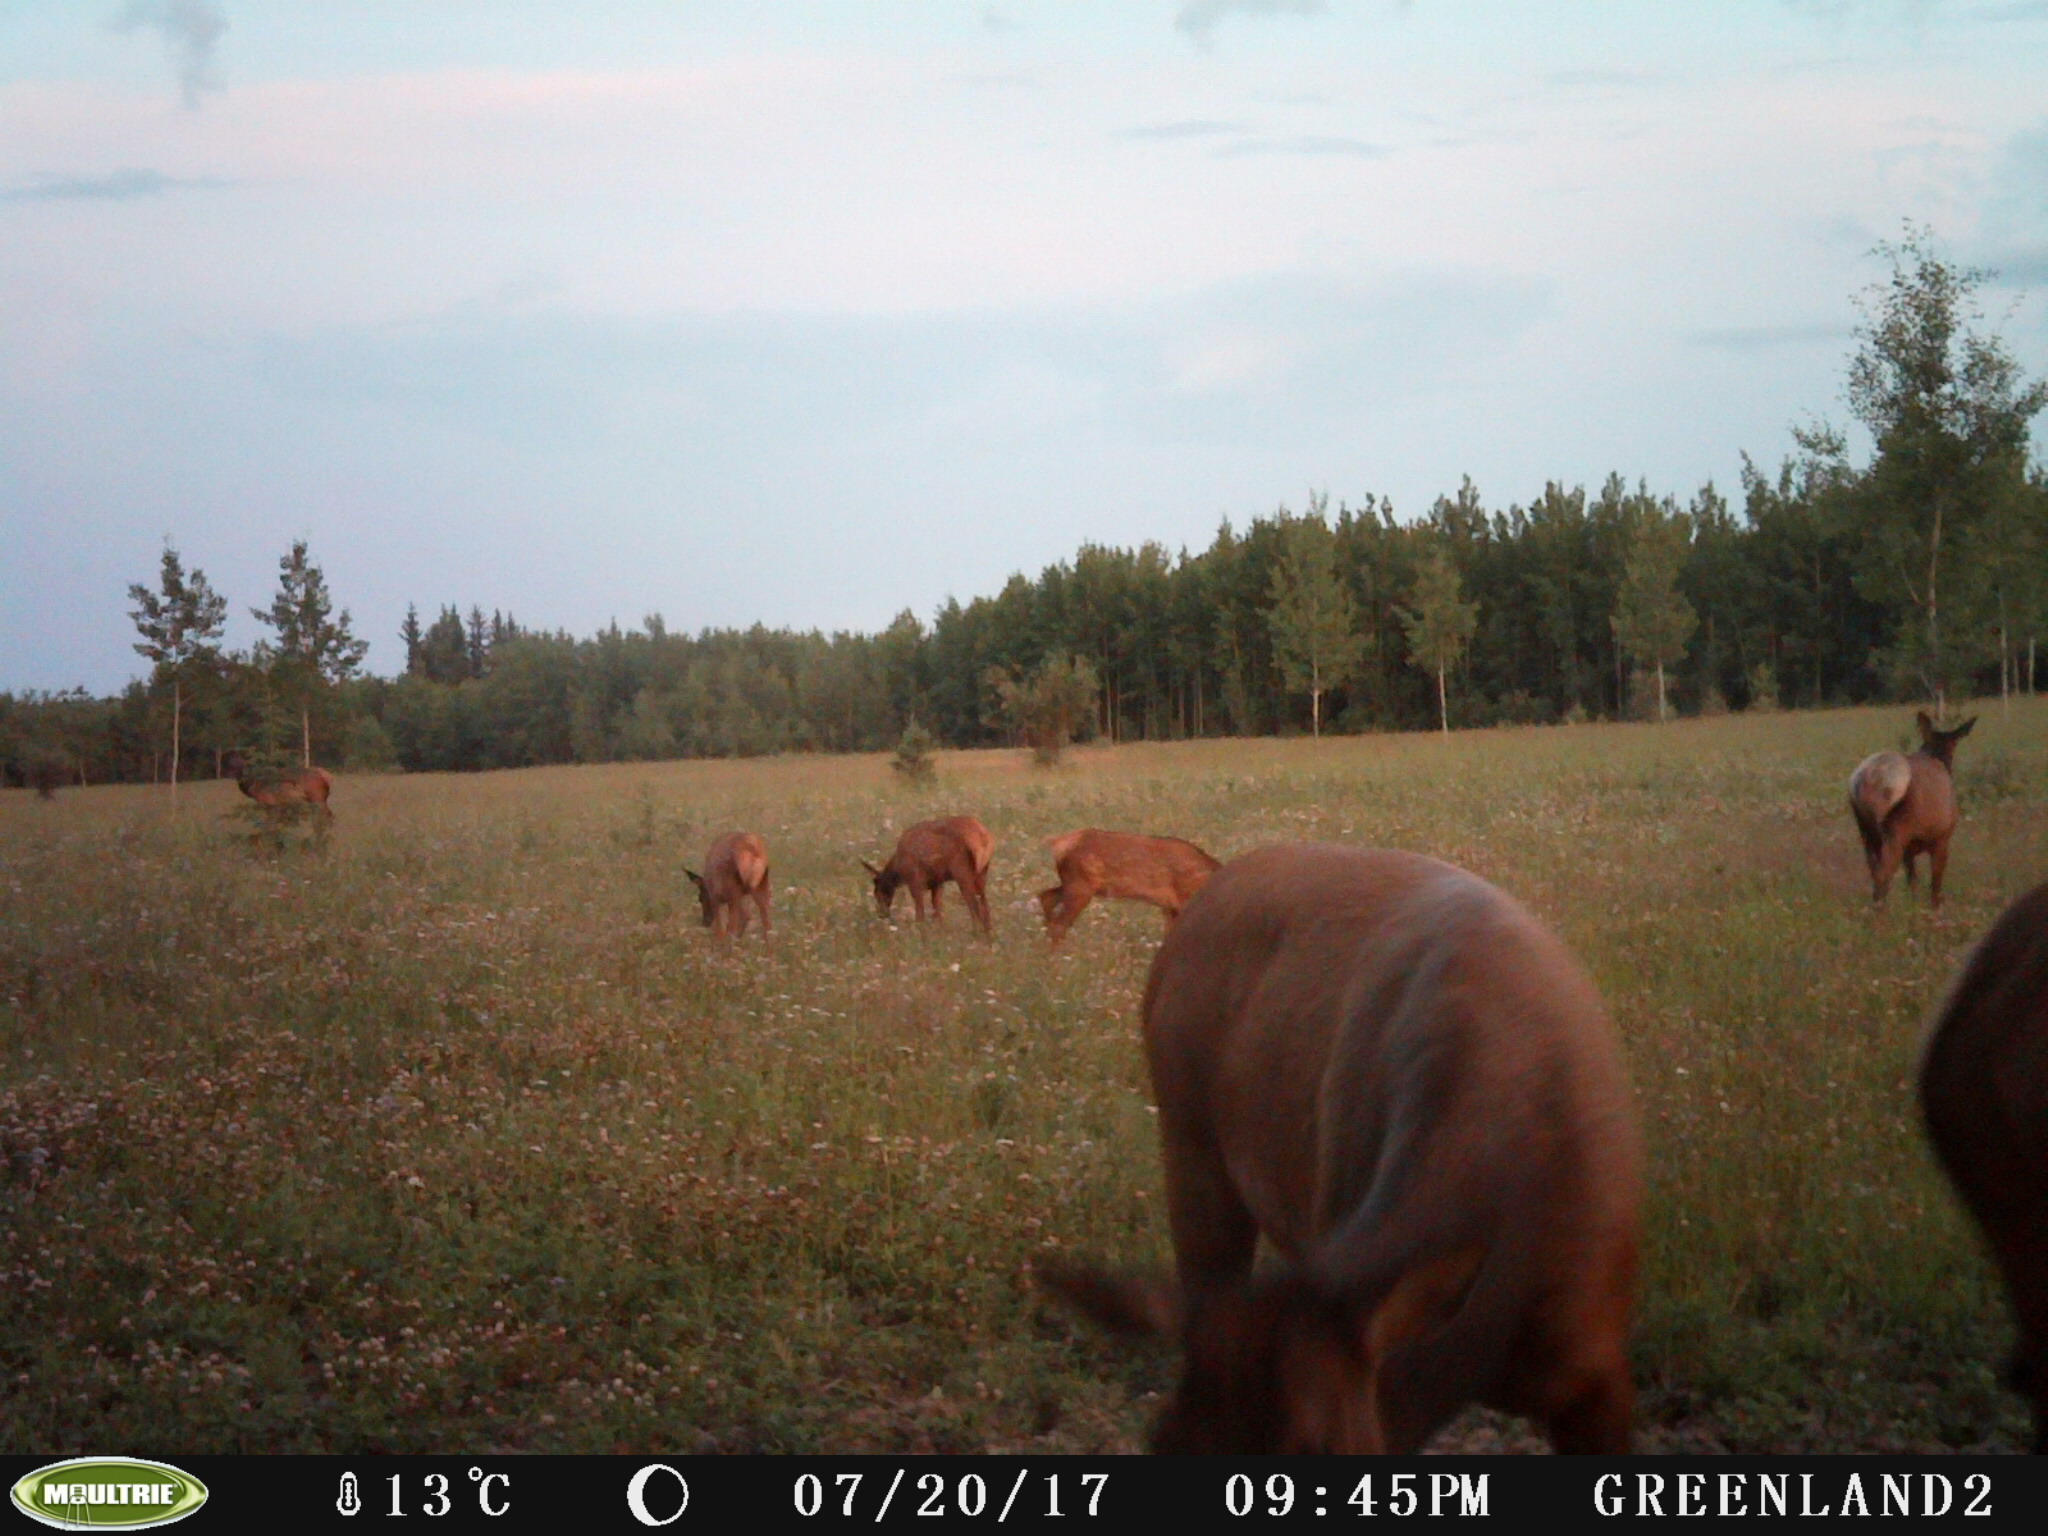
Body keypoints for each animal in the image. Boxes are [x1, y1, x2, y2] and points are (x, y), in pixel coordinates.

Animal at [862, 815, 995, 934]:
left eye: (879, 892)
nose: (882, 914)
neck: (899, 868)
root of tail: (983, 837)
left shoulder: (915, 880)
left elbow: (920, 912)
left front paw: (920, 932)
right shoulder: (937, 882)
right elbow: (937, 910)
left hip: (961, 871)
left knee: (974, 904)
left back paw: (976, 933)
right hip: (981, 872)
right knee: (984, 904)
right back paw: (988, 933)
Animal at [1037, 829, 1221, 949]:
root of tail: (1058, 844)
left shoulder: (1170, 907)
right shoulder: (1183, 900)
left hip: (1073, 883)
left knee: (1046, 897)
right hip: (1080, 886)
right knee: (1058, 925)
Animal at [1848, 712, 1976, 909]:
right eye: (1954, 746)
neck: (1936, 755)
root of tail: (1869, 779)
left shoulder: (1909, 849)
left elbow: (1912, 881)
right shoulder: (1942, 838)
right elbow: (1935, 884)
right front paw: (1934, 910)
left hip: (1866, 832)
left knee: (1875, 874)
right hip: (1895, 832)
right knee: (1882, 877)